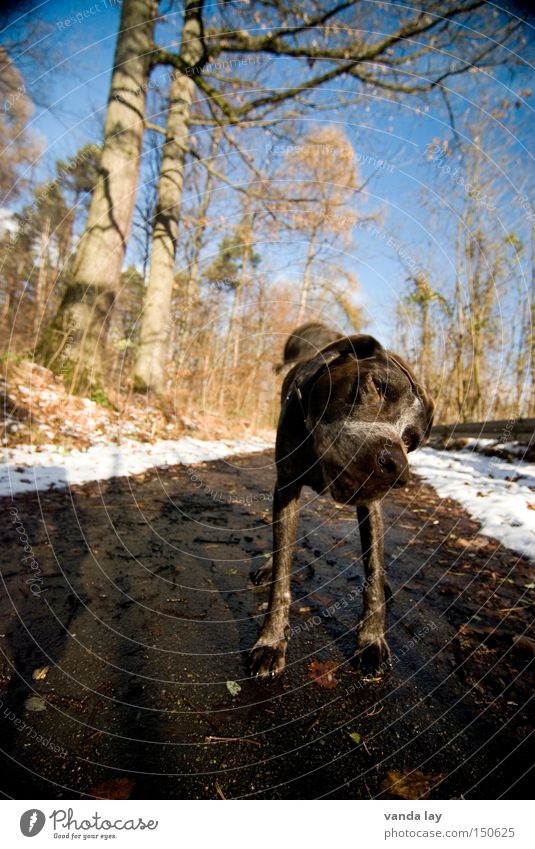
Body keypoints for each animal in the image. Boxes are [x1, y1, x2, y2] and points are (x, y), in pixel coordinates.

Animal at [252, 324, 436, 676]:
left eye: (411, 440)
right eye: (378, 386)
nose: (398, 470)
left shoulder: (370, 507)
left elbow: (373, 572)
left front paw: (371, 639)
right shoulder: (287, 487)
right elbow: (282, 571)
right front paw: (271, 640)